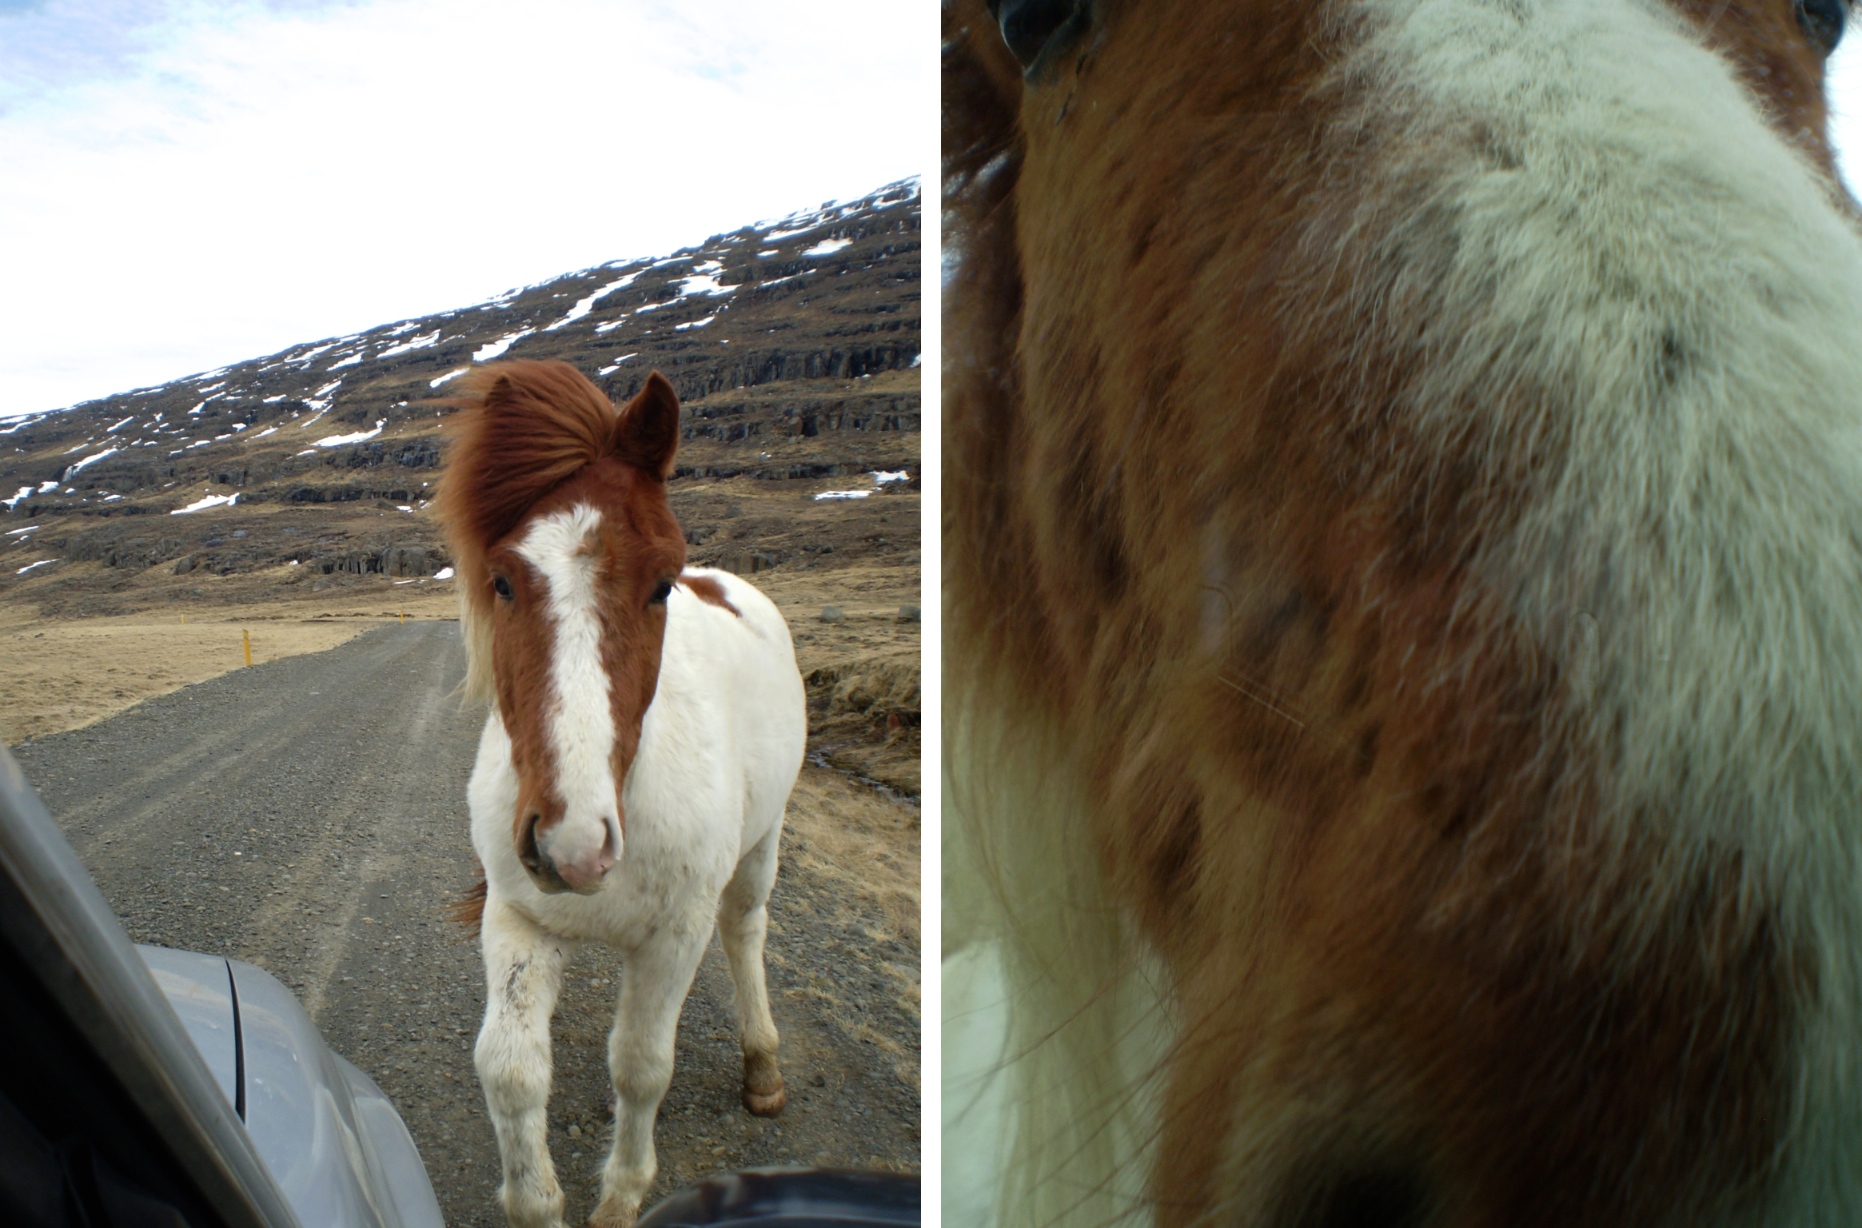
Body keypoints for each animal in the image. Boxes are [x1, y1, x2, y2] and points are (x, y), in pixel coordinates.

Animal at [443, 359, 808, 1228]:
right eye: (501, 580)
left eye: (662, 585)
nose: (570, 844)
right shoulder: (517, 919)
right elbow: (509, 1068)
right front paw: (536, 1199)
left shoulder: (676, 935)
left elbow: (642, 1065)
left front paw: (620, 1197)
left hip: (763, 843)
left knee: (746, 931)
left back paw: (762, 1067)